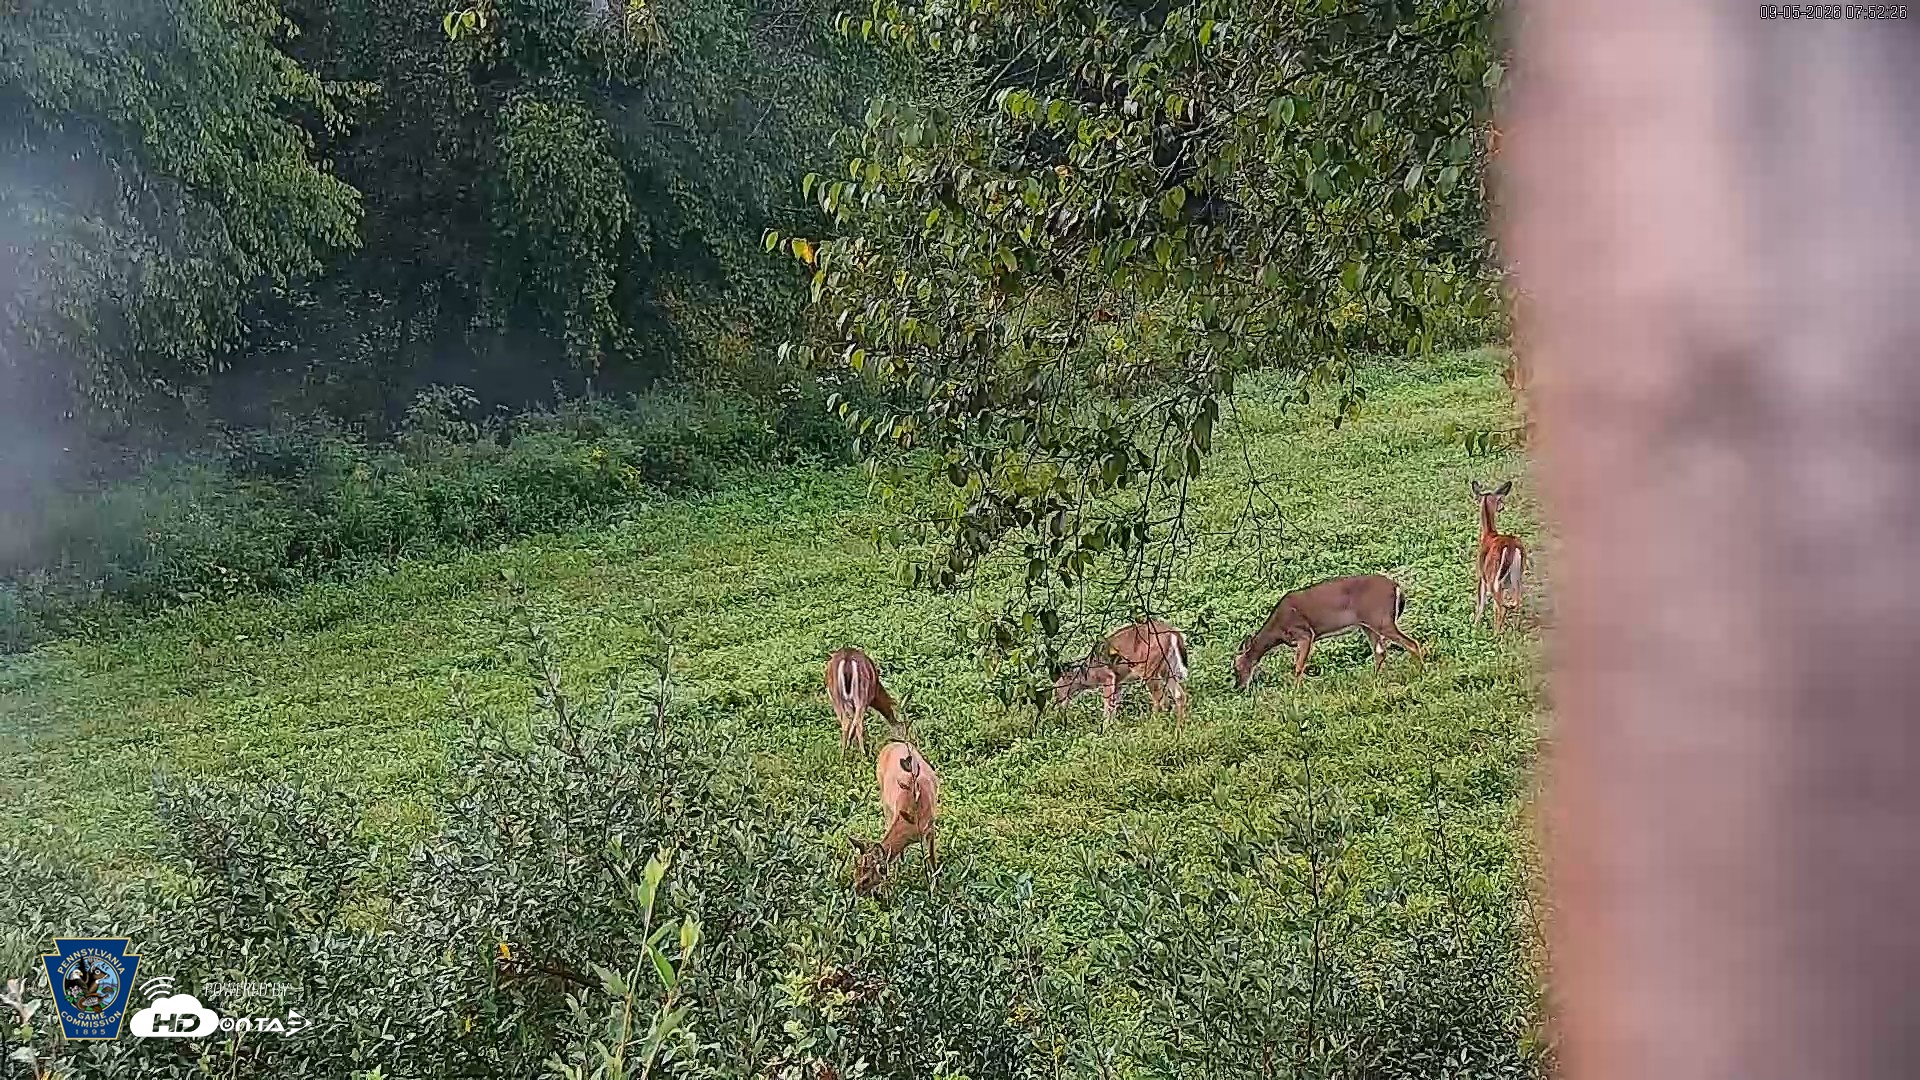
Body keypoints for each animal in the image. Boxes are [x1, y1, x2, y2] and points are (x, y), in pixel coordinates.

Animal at [850, 741, 940, 894]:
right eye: (855, 872)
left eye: (866, 879)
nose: (856, 891)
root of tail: (890, 744)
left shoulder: (930, 827)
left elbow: (932, 857)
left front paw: (937, 885)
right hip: (884, 798)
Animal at [1053, 619, 1191, 731]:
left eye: (1057, 687)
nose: (1058, 704)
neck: (1089, 674)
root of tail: (1173, 633)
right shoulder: (1119, 681)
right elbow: (1114, 705)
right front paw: (1112, 728)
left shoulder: (1108, 676)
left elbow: (1108, 705)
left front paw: (1104, 729)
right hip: (1167, 668)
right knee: (1179, 695)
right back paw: (1179, 728)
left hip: (1149, 667)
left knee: (1160, 699)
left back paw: (1153, 724)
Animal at [1231, 574, 1425, 689]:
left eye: (1236, 667)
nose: (1238, 686)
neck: (1278, 630)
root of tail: (1397, 587)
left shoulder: (1305, 634)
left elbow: (1299, 666)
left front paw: (1295, 692)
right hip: (1368, 624)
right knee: (1380, 651)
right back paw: (1374, 680)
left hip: (1381, 619)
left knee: (1411, 643)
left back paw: (1421, 672)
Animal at [1472, 480, 1528, 632]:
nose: (1502, 507)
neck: (1488, 535)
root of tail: (1511, 547)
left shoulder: (1482, 576)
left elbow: (1480, 603)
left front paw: (1474, 626)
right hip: (1516, 576)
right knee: (1517, 602)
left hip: (1494, 578)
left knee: (1500, 607)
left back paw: (1495, 634)